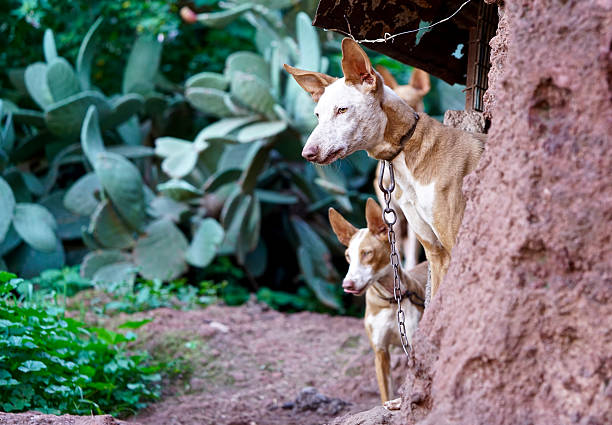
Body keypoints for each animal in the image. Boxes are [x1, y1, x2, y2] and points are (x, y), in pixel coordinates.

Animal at [284, 38, 486, 300]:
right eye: (317, 115)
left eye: (342, 110)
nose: (307, 153)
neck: (407, 156)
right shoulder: (435, 252)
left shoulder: (456, 245)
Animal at [330, 199, 426, 404]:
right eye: (348, 256)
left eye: (367, 253)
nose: (347, 285)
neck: (392, 300)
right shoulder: (380, 352)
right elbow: (385, 394)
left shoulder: (413, 345)